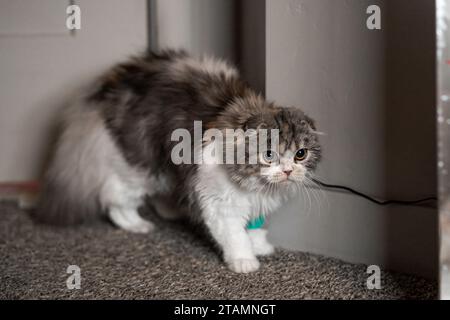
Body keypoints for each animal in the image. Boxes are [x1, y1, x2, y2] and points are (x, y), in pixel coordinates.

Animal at [37, 49, 322, 272]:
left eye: (300, 154)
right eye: (269, 154)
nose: (288, 171)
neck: (258, 186)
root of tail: (112, 84)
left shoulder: (254, 203)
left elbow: (253, 227)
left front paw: (260, 245)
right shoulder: (220, 202)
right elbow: (234, 235)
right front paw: (244, 261)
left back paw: (172, 211)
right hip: (140, 167)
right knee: (114, 199)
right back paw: (138, 225)